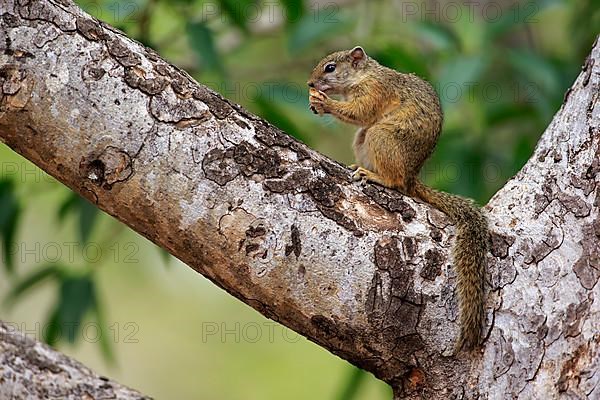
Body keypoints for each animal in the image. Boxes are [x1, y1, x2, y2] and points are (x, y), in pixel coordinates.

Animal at [310, 47, 488, 352]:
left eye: (330, 67)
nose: (310, 83)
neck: (364, 75)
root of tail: (411, 176)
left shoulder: (376, 91)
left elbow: (360, 112)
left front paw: (325, 103)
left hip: (381, 136)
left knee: (394, 181)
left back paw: (375, 176)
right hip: (363, 140)